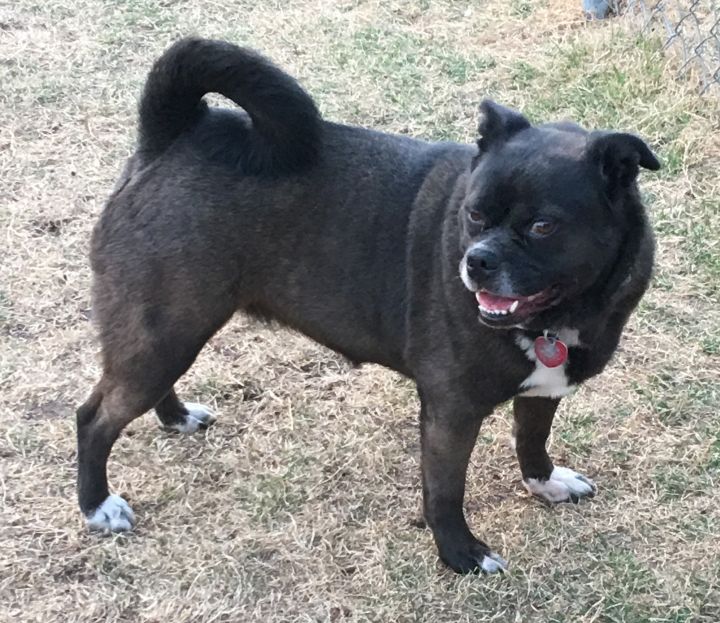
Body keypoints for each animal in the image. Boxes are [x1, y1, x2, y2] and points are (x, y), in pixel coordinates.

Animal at [77, 37, 660, 576]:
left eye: (543, 226)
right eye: (473, 213)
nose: (477, 261)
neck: (560, 317)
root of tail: (173, 135)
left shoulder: (543, 389)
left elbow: (532, 440)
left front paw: (545, 483)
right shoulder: (451, 411)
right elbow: (444, 491)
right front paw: (460, 554)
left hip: (171, 331)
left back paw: (175, 418)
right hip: (166, 329)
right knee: (94, 418)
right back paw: (96, 506)